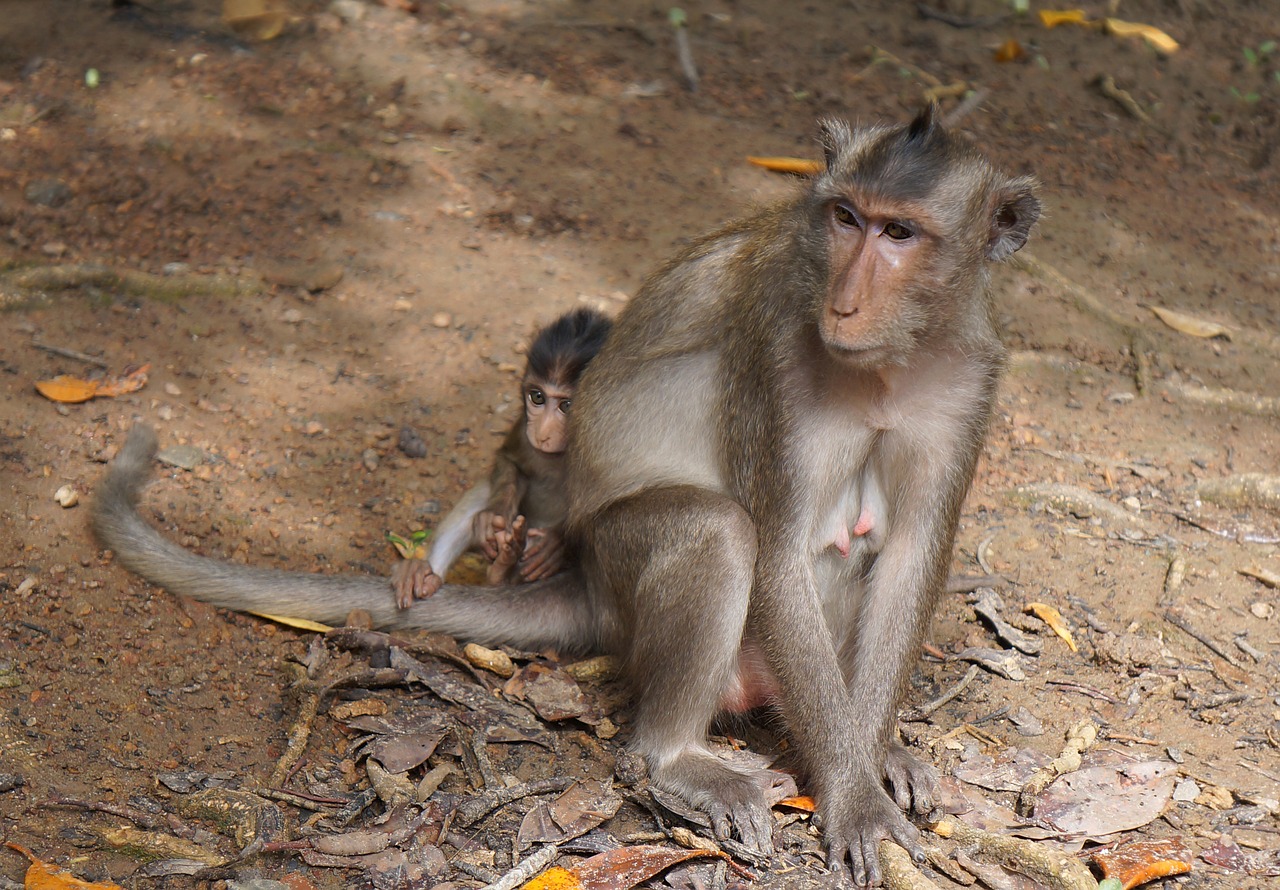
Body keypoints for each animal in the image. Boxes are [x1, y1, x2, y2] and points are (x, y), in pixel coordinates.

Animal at [391, 309, 611, 609]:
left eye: (567, 405)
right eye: (537, 397)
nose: (542, 433)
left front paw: (555, 544)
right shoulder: (523, 429)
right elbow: (509, 461)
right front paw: (491, 517)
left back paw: (505, 571)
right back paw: (428, 572)